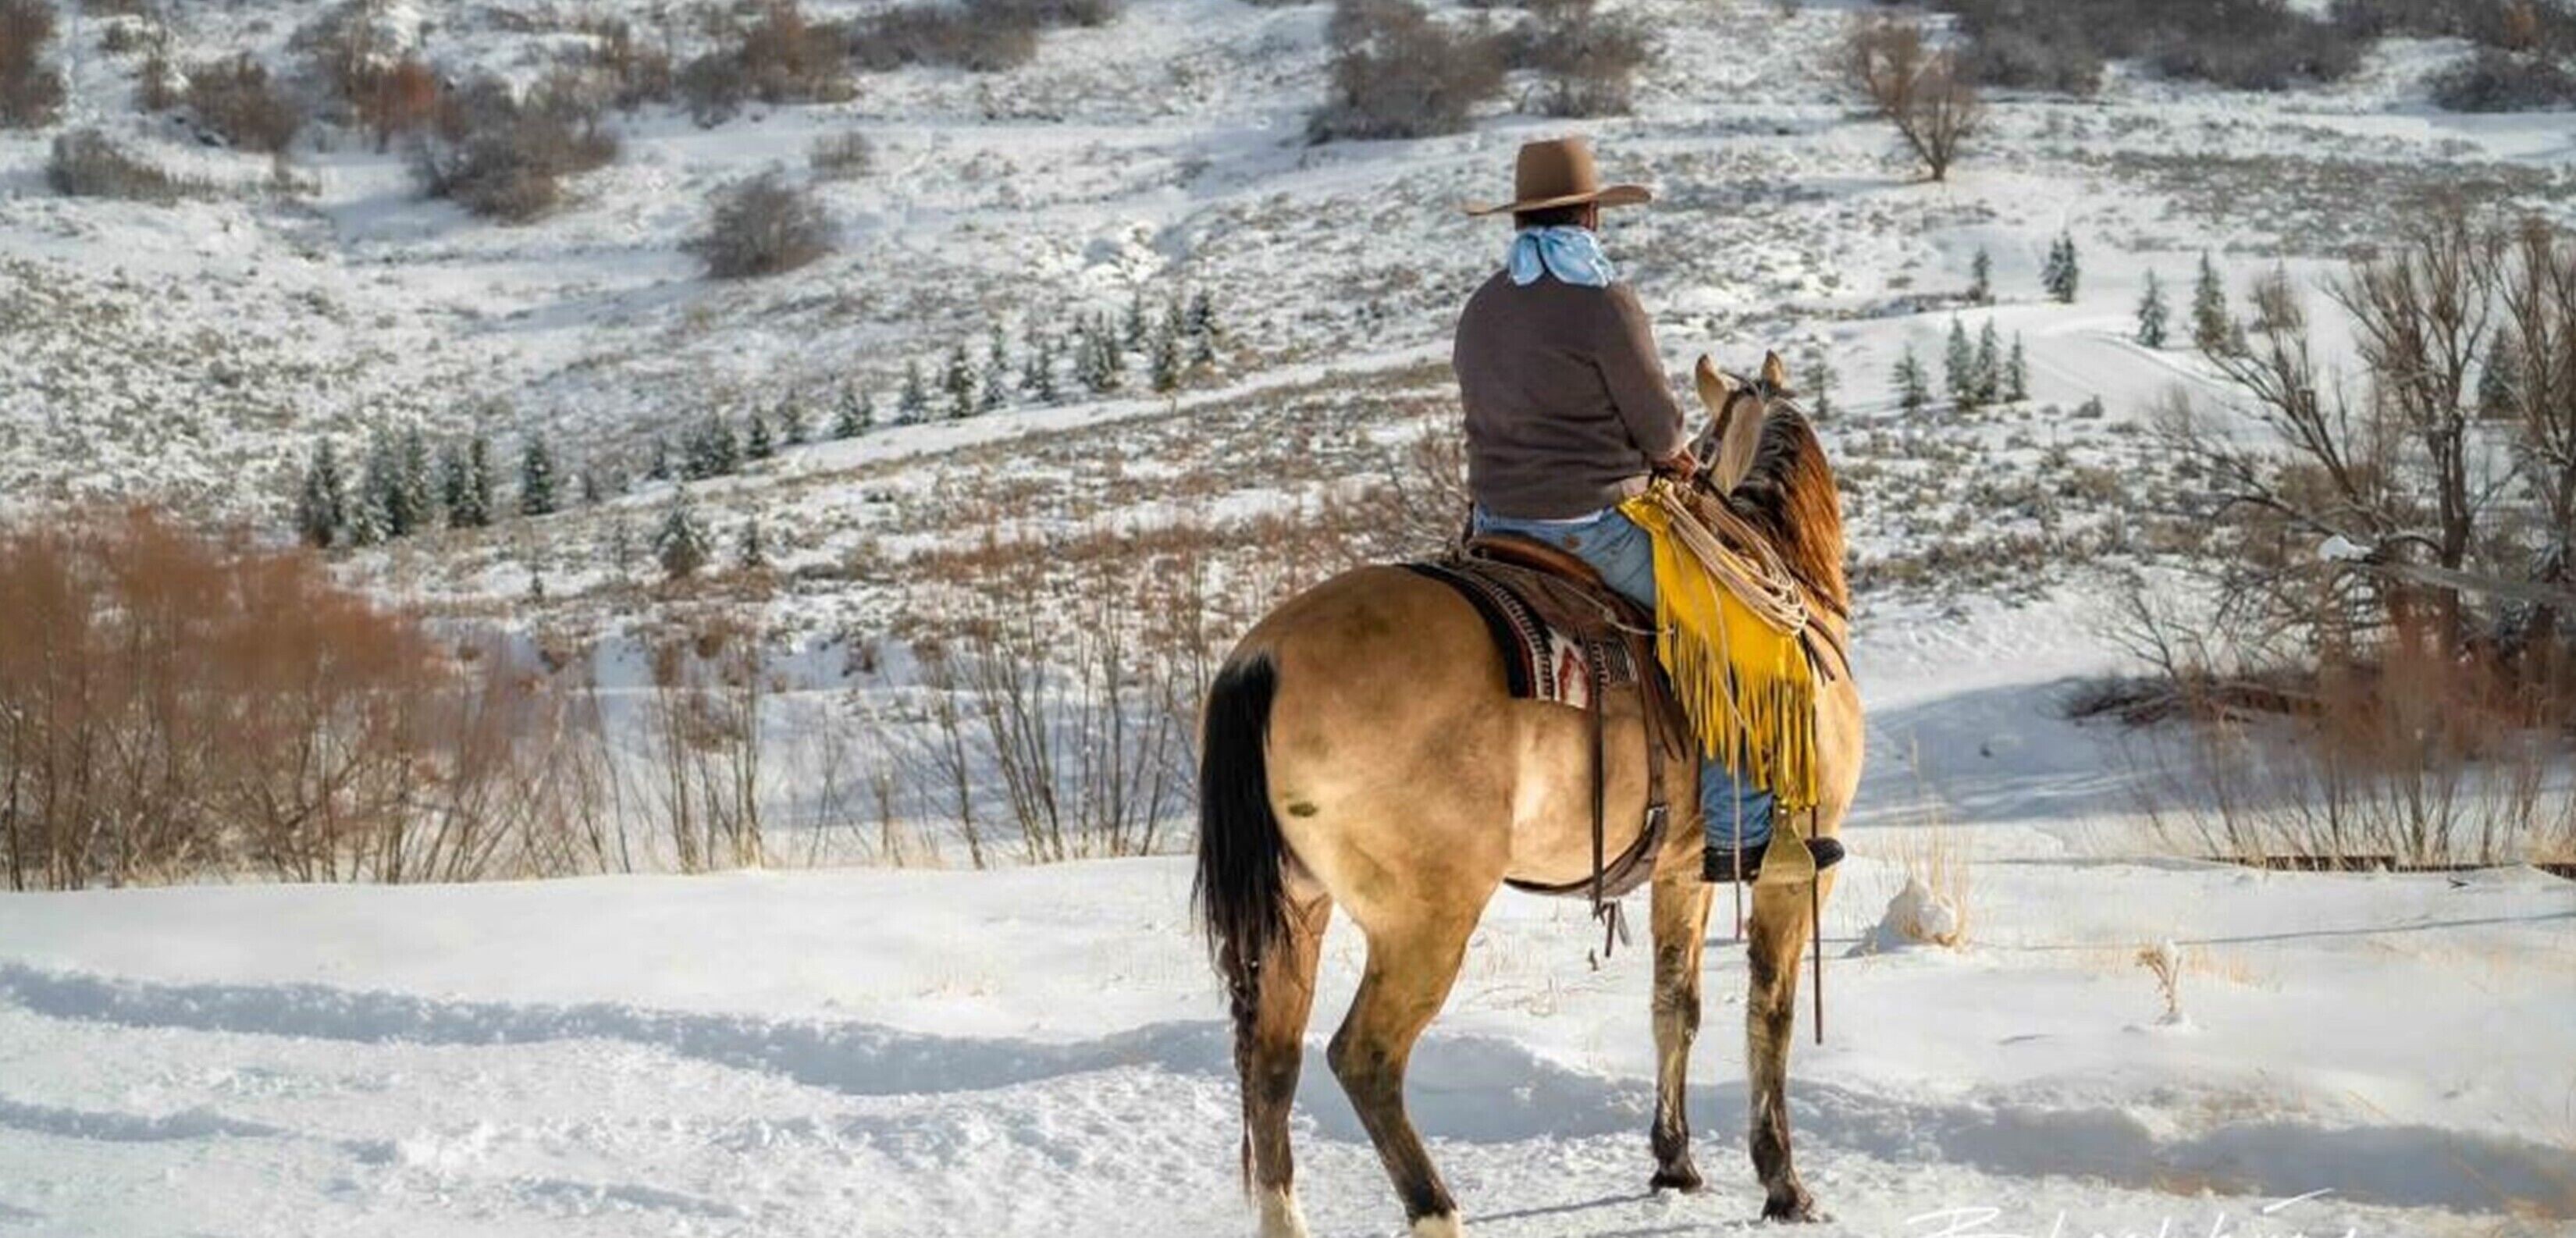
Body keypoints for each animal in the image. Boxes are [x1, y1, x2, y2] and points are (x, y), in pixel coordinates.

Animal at [1192, 351, 1862, 1236]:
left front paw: (1674, 1161)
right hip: (1423, 921)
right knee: (1363, 1057)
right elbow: (1770, 1009)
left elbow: (1673, 1002)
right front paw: (1783, 1182)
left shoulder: (1684, 869)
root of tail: (1262, 660)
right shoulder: (1796, 869)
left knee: (1270, 1063)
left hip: (1297, 908)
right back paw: (1437, 1209)